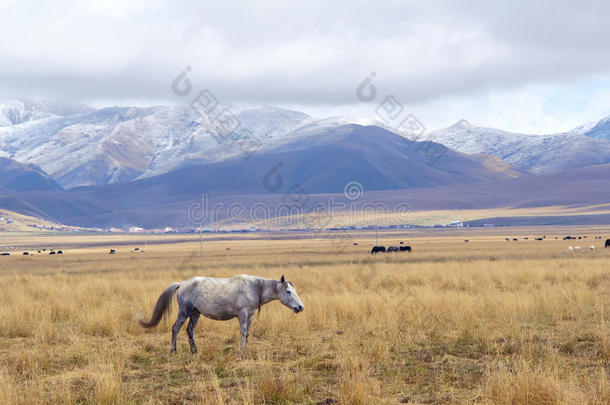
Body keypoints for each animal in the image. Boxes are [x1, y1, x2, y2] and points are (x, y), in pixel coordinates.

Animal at [139, 274, 302, 352]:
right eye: (288, 292)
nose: (300, 307)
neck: (255, 288)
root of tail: (182, 283)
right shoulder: (242, 314)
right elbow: (243, 332)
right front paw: (241, 351)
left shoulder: (250, 316)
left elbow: (247, 333)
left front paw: (246, 349)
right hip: (184, 312)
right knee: (175, 328)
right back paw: (174, 351)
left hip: (195, 313)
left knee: (190, 330)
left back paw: (195, 351)